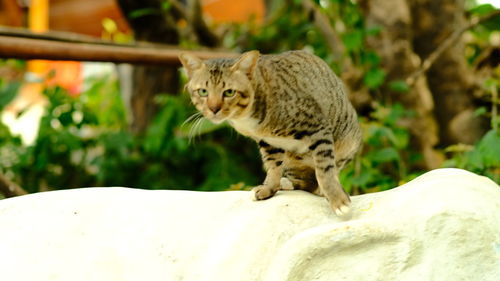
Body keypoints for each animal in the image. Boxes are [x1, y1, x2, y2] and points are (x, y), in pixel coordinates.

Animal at [178, 49, 362, 214]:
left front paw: (337, 199)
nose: (214, 109)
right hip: (292, 161)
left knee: (322, 175)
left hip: (348, 143)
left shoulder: (318, 127)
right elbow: (273, 166)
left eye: (229, 92)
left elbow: (324, 170)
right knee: (305, 181)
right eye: (203, 91)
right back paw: (287, 183)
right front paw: (269, 188)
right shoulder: (268, 142)